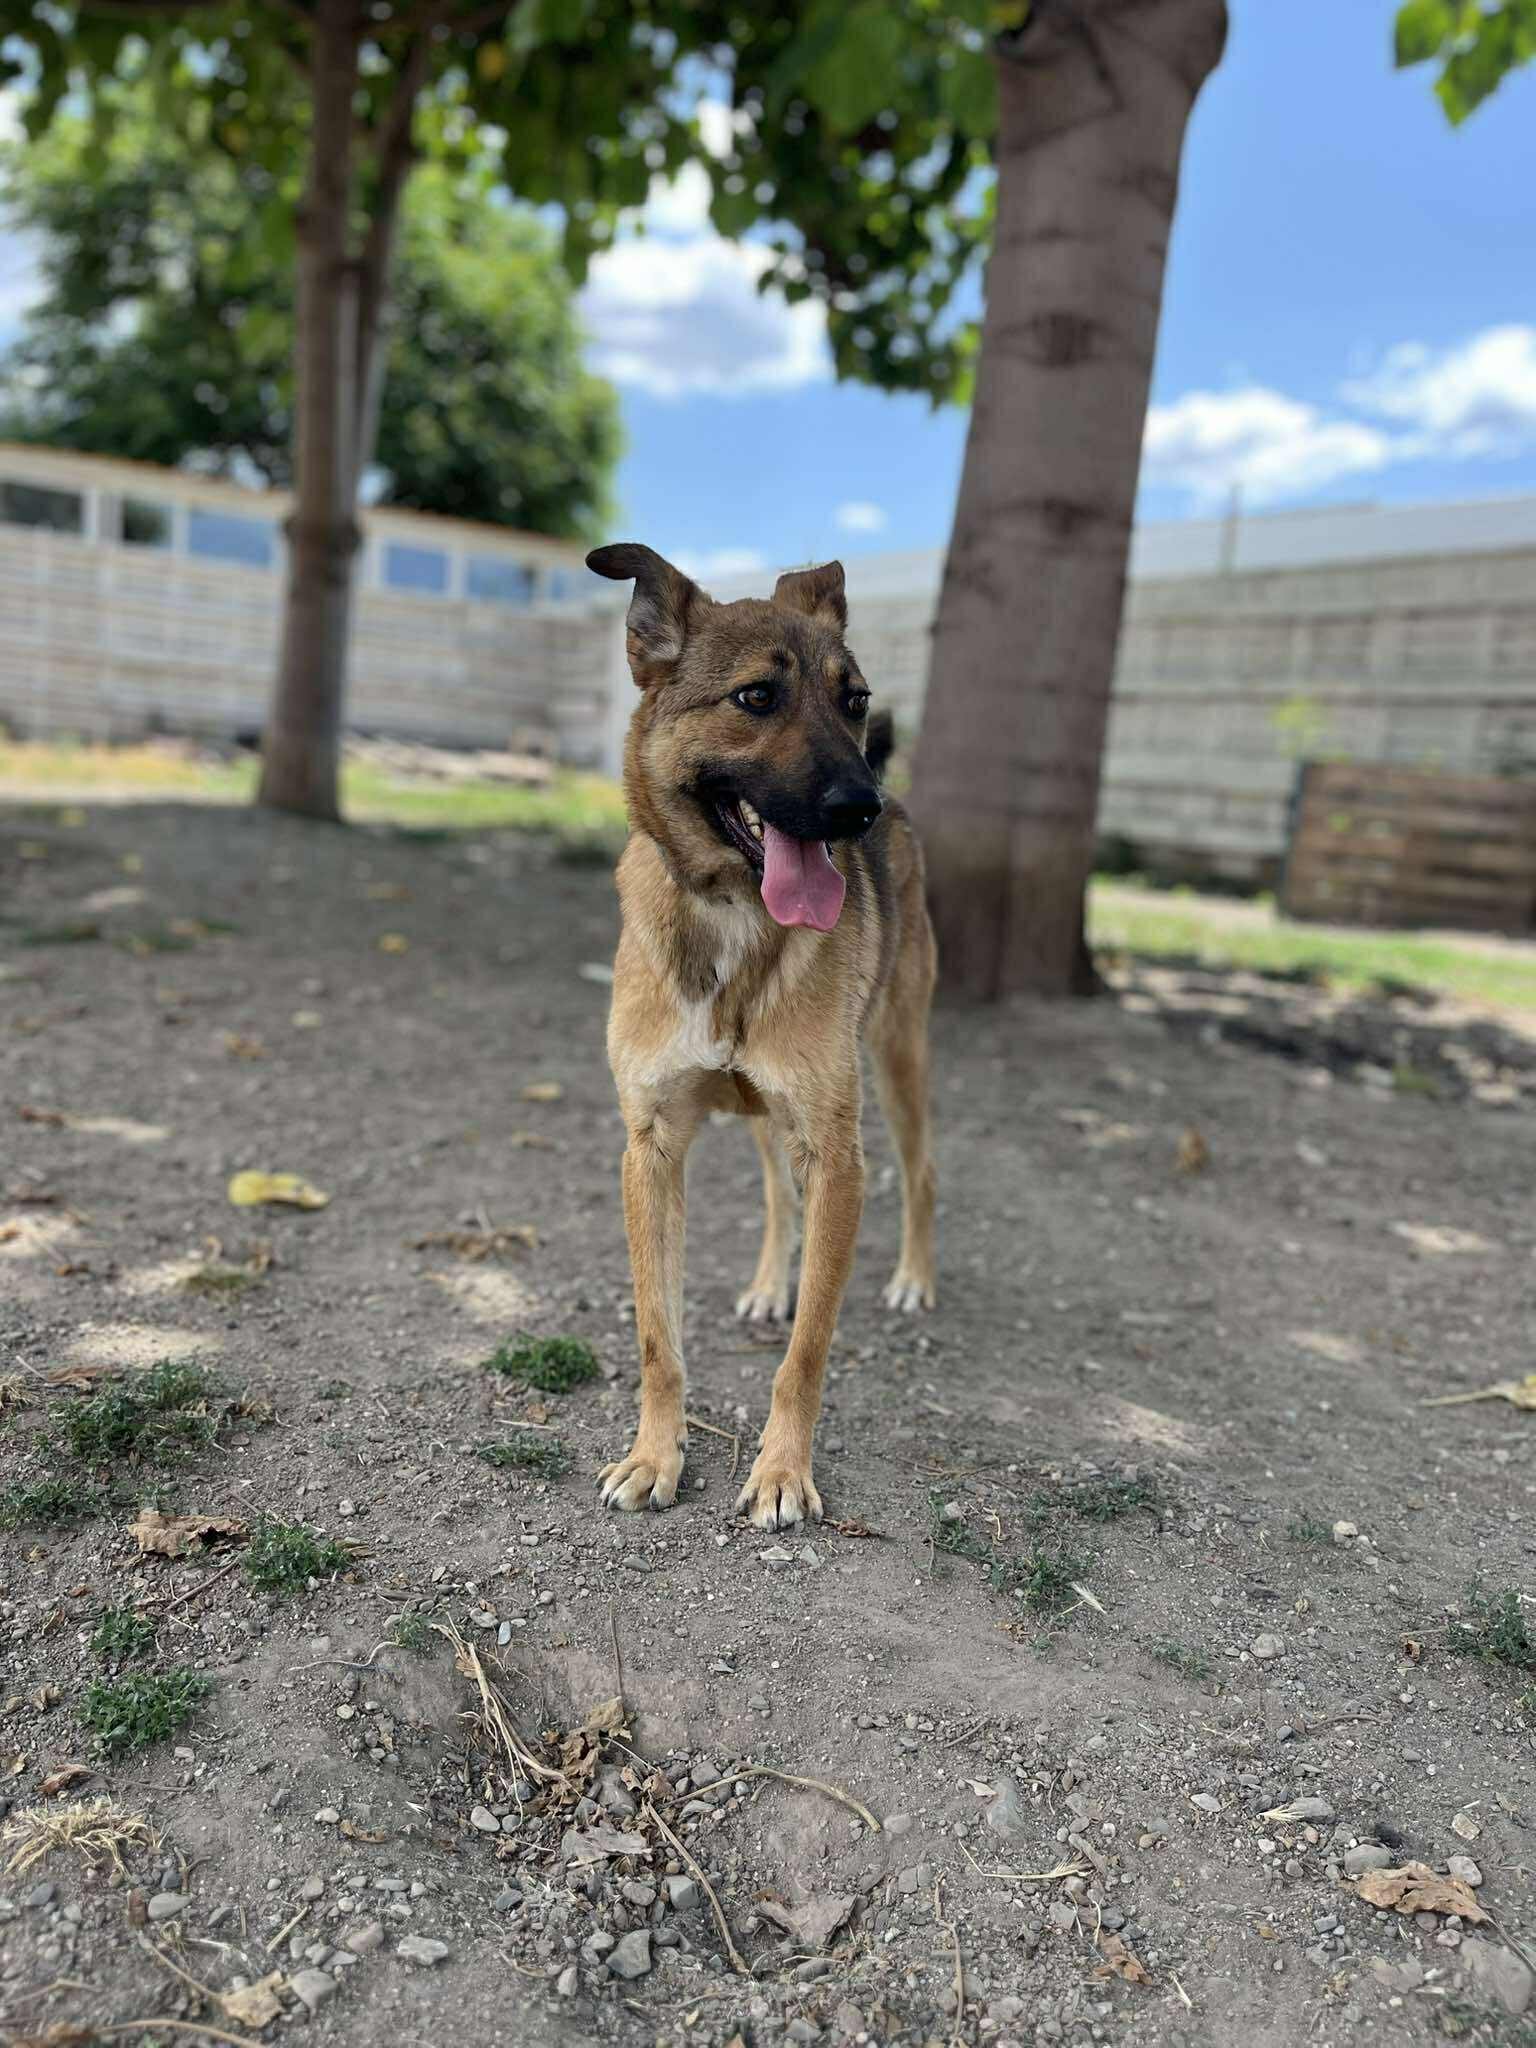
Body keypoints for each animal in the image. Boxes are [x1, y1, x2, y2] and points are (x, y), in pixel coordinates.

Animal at [586, 542, 938, 1531]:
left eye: (854, 698)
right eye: (755, 697)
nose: (861, 806)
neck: (734, 918)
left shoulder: (837, 1153)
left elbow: (808, 1351)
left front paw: (783, 1470)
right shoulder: (652, 1146)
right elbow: (657, 1336)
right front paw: (653, 1457)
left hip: (897, 1060)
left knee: (923, 1171)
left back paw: (913, 1279)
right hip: (763, 1116)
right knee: (780, 1196)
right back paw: (769, 1283)